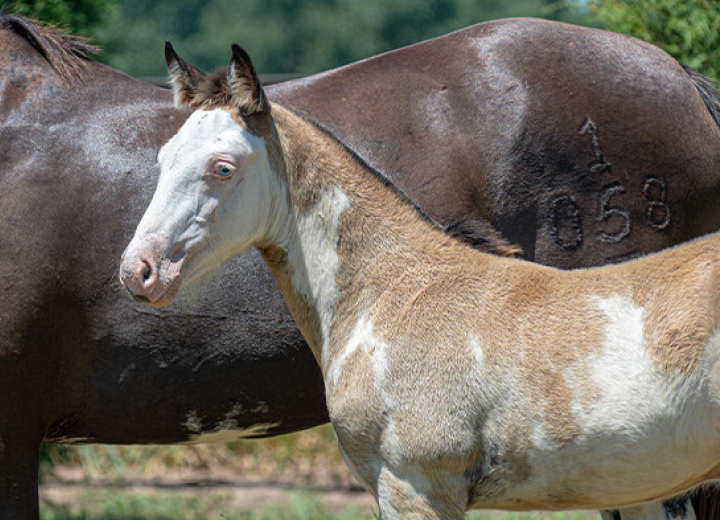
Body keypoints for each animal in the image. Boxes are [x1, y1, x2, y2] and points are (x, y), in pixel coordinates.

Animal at [1, 12, 720, 520]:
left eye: (223, 167)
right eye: (159, 157)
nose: (139, 271)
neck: (399, 288)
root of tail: (684, 79)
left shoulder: (415, 485)